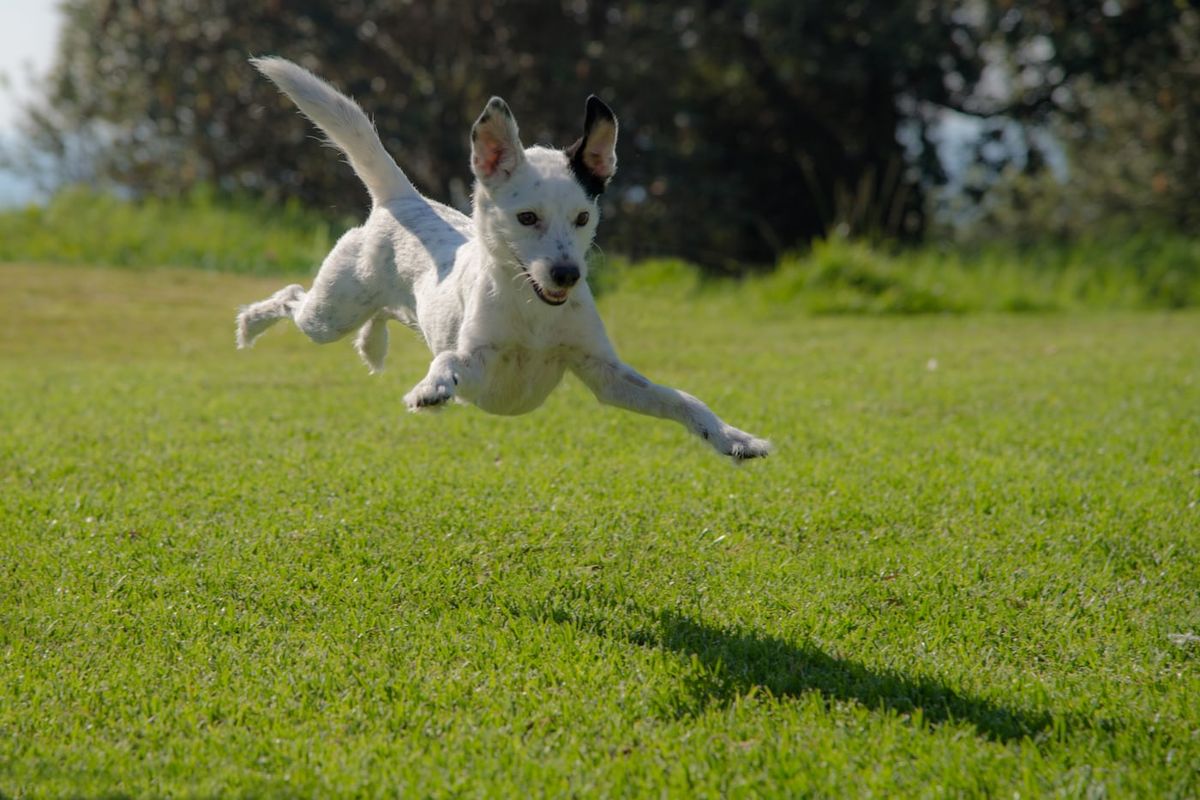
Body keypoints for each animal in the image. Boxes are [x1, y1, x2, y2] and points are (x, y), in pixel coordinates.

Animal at [238, 57, 772, 462]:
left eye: (583, 217)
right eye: (527, 217)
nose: (567, 274)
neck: (534, 313)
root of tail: (403, 199)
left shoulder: (606, 374)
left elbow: (682, 399)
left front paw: (733, 438)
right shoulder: (480, 364)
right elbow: (449, 360)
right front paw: (431, 387)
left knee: (379, 315)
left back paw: (372, 344)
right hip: (329, 313)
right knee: (292, 297)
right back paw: (250, 325)